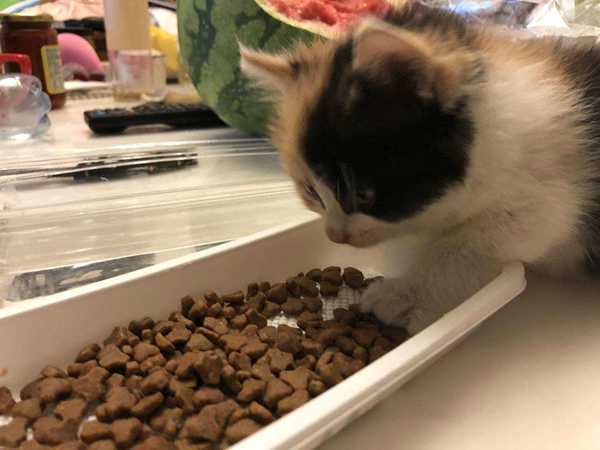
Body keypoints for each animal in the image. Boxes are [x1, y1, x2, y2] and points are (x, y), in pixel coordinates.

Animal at [239, 2, 600, 335]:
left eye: (362, 195)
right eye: (312, 191)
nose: (335, 236)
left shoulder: (545, 198)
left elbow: (464, 244)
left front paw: (404, 294)